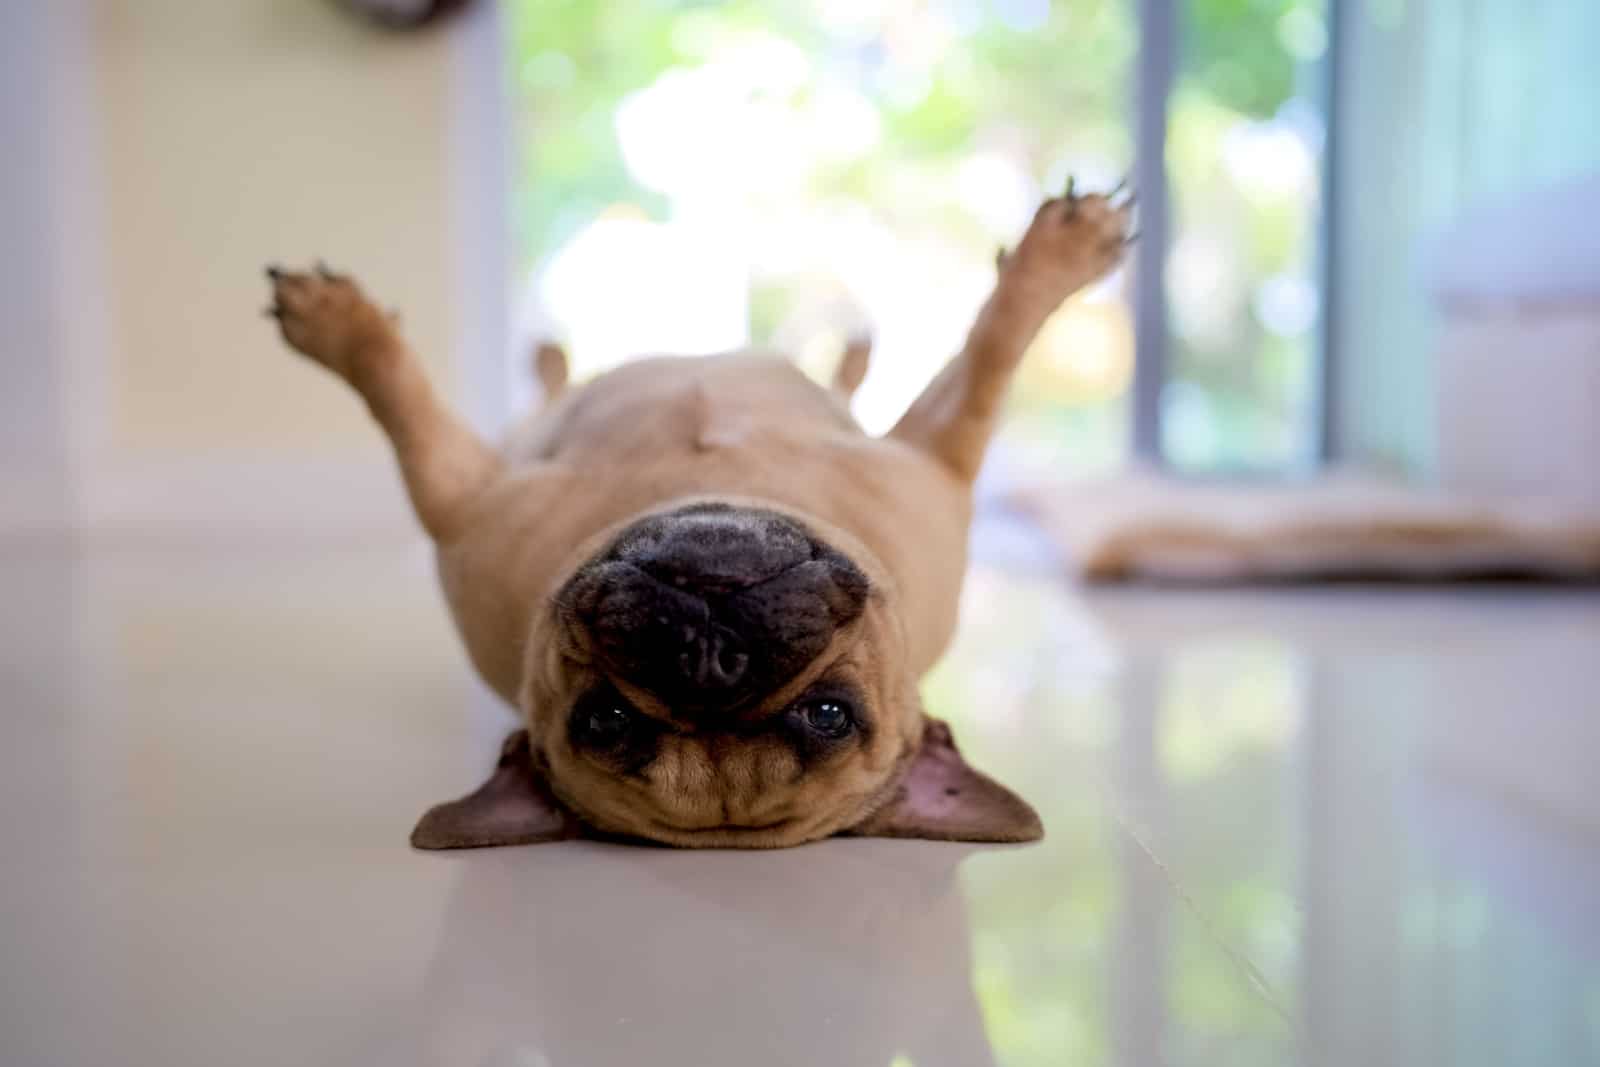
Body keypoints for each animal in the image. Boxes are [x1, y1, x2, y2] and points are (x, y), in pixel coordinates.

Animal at [262, 183, 1132, 851]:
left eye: (829, 713)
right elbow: (398, 393)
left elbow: (990, 359)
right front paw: (340, 324)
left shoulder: (935, 459)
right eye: (606, 719)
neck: (709, 480)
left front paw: (1056, 260)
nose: (712, 659)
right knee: (554, 387)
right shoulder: (468, 497)